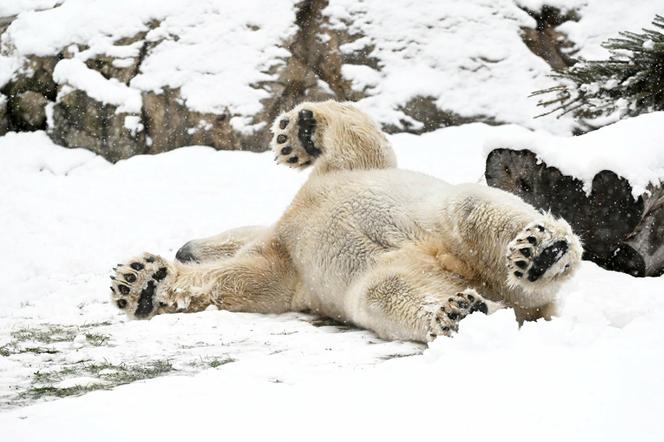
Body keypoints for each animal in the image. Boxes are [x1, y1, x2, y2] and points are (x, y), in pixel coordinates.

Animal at [109, 102, 580, 344]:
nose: (183, 247)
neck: (289, 220)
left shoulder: (337, 178)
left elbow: (362, 141)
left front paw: (297, 132)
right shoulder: (288, 264)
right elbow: (239, 283)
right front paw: (143, 282)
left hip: (446, 222)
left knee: (469, 207)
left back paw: (543, 251)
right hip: (408, 276)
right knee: (389, 291)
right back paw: (462, 311)